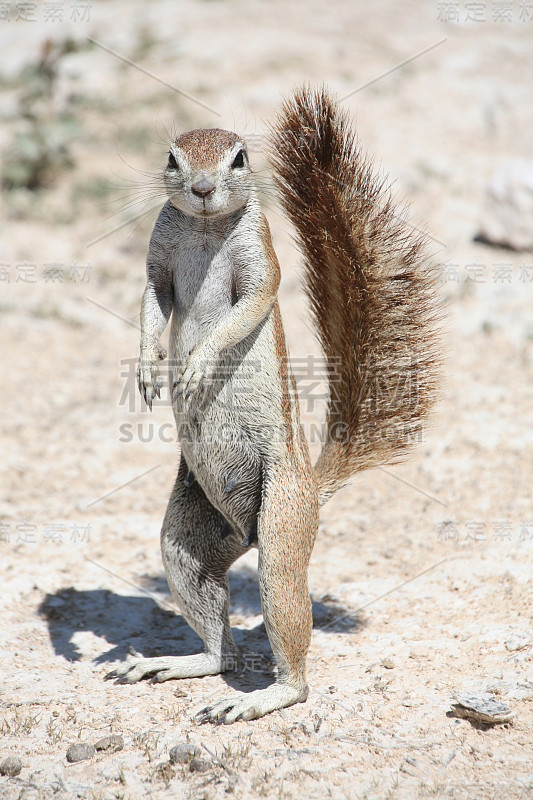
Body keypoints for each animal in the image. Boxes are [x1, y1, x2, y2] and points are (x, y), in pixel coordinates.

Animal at [107, 84, 440, 720]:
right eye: (172, 158)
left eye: (238, 158)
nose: (202, 188)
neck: (206, 229)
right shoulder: (157, 266)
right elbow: (150, 304)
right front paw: (147, 368)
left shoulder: (259, 264)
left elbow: (248, 305)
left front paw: (197, 366)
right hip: (187, 543)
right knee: (223, 651)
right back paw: (180, 662)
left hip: (281, 531)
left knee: (291, 651)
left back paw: (263, 698)